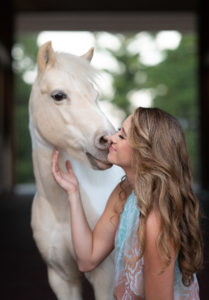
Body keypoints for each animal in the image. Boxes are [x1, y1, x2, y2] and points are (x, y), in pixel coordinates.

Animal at [28, 40, 125, 300]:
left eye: (95, 96)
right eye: (58, 95)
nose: (107, 141)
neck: (63, 210)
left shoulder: (105, 278)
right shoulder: (62, 277)